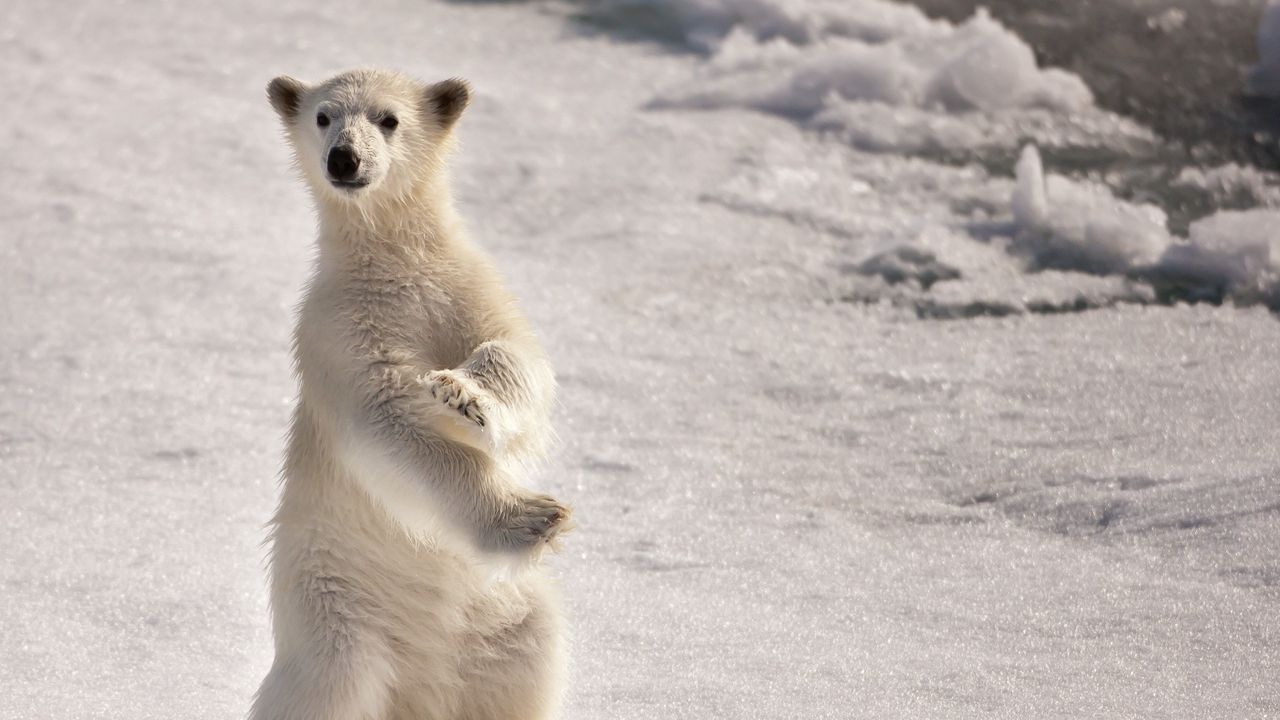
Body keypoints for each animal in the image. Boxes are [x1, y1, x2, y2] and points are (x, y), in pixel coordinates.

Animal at [252, 68, 573, 717]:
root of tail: (421, 685)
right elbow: (388, 421)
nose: (344, 158)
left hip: (503, 617)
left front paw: (463, 396)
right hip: (336, 607)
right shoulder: (339, 329)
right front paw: (530, 518)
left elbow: (517, 356)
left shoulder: (466, 286)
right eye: (323, 116)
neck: (394, 260)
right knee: (326, 688)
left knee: (527, 664)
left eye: (389, 118)